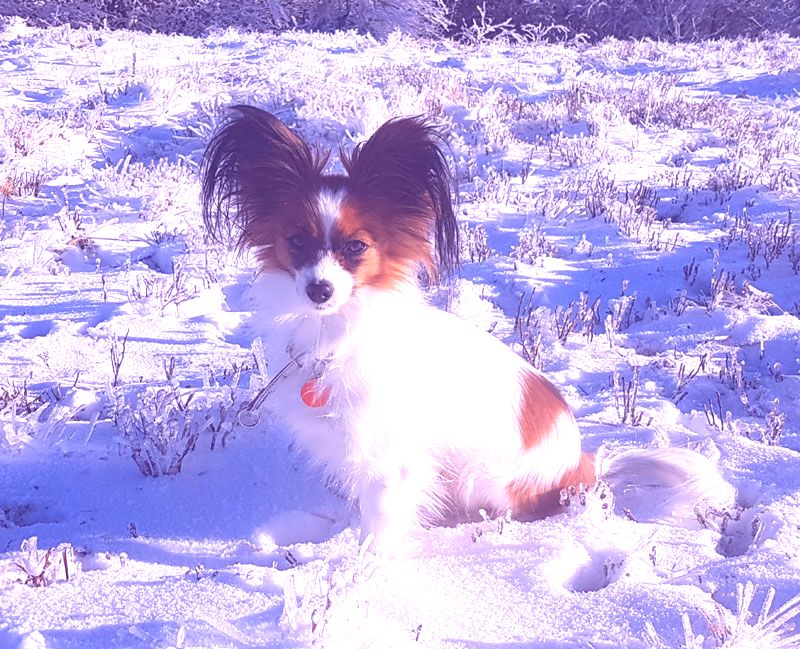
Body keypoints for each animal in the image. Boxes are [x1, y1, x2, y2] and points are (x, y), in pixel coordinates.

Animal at [202, 105, 736, 548]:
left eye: (356, 247)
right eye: (296, 241)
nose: (320, 291)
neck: (338, 334)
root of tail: (583, 468)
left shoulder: (390, 460)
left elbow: (380, 528)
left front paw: (362, 574)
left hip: (488, 478)